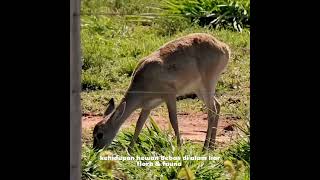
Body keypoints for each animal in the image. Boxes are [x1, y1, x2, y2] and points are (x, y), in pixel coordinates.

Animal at [92, 32, 230, 150]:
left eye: (100, 134)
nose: (95, 151)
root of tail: (223, 46)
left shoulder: (170, 96)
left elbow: (173, 120)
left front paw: (179, 147)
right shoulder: (147, 107)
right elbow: (139, 125)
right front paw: (129, 150)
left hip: (208, 84)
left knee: (212, 111)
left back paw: (205, 147)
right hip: (199, 89)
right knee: (217, 105)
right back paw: (211, 146)